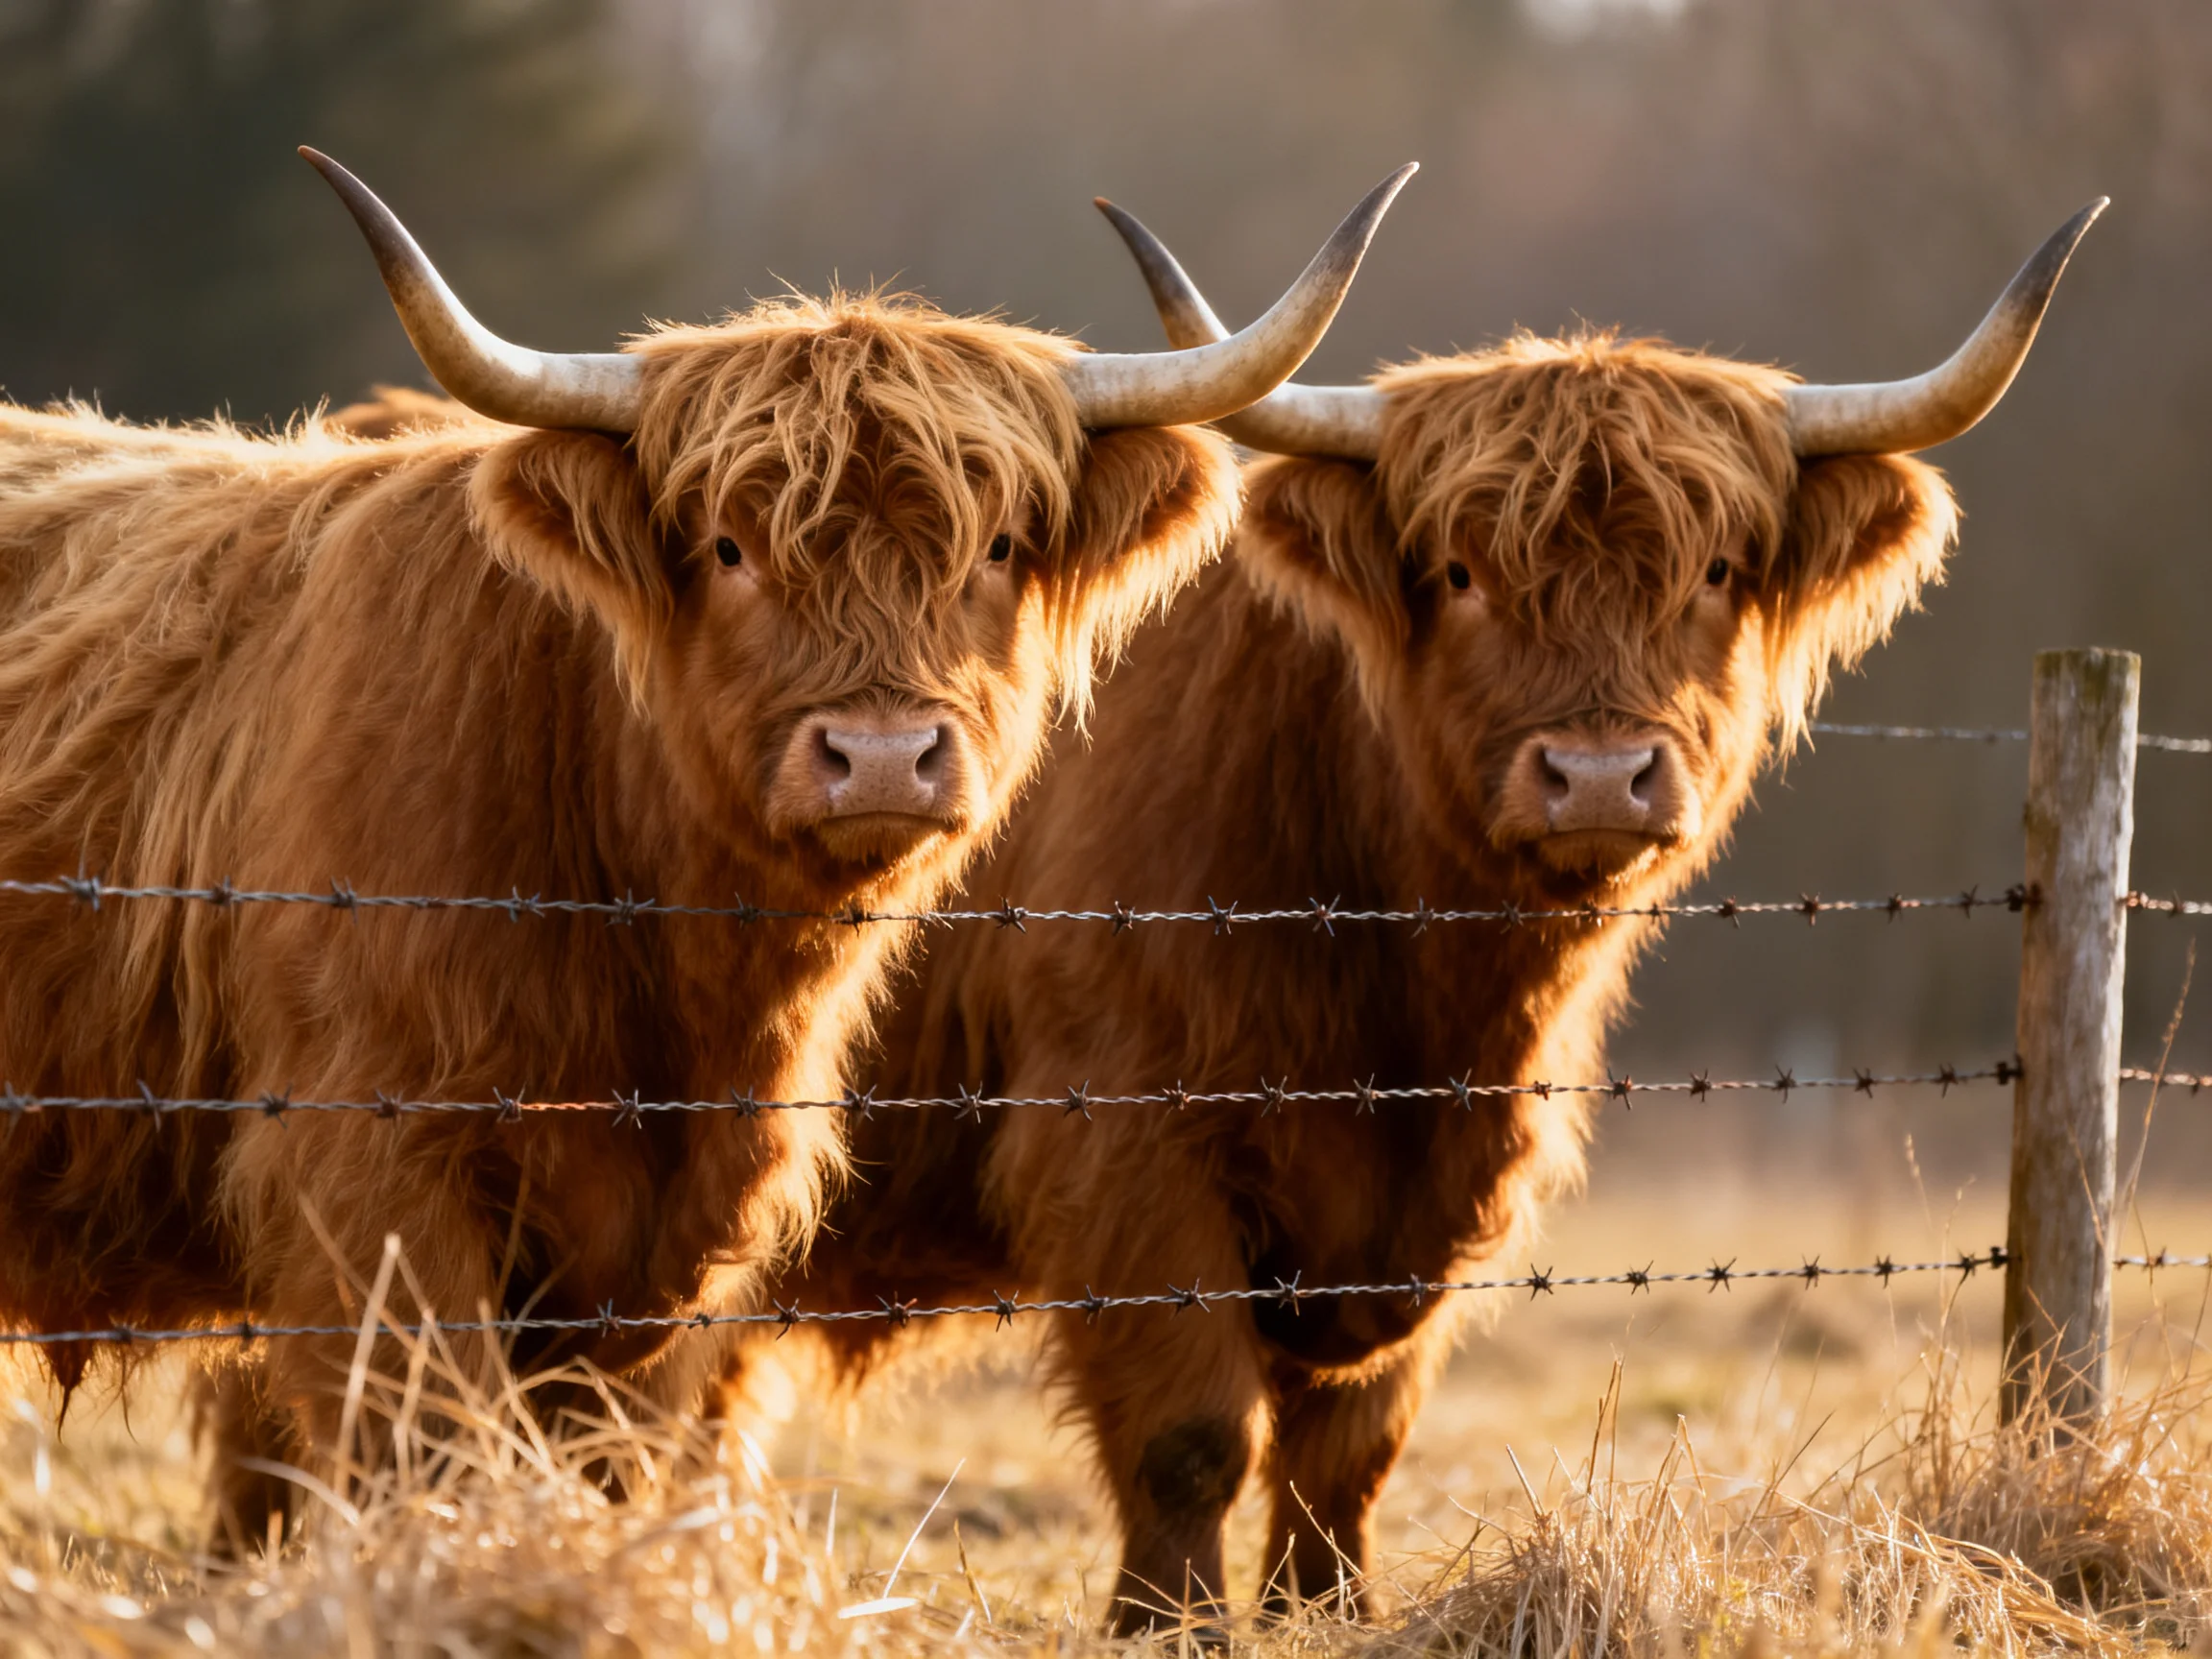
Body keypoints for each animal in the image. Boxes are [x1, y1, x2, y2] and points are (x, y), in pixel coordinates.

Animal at [0, 148, 1413, 1546]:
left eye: (999, 546)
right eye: (729, 547)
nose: (883, 755)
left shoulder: (651, 1259)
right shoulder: (365, 1172)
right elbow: (432, 1454)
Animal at [762, 198, 2105, 1630]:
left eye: (1715, 572)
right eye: (1460, 574)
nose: (1597, 776)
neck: (1405, 993)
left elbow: (1353, 1443)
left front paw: (1327, 1607)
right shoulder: (1119, 1142)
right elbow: (1191, 1431)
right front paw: (1171, 1625)